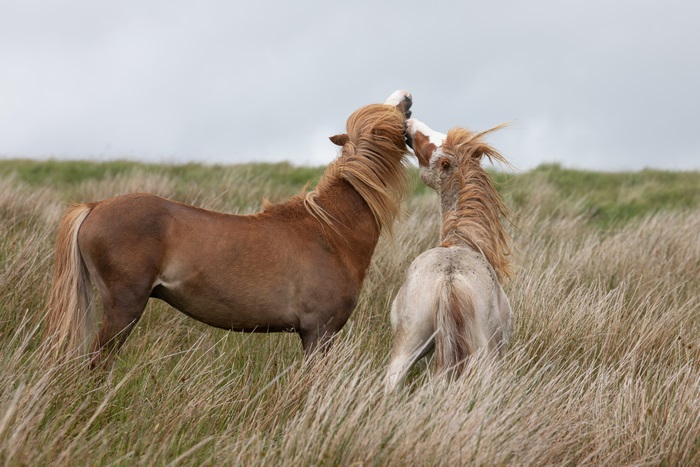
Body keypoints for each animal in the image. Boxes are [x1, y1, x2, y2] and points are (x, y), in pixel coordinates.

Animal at [45, 90, 414, 368]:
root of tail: (94, 207)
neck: (332, 231)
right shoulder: (318, 333)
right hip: (124, 308)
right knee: (98, 361)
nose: (407, 95)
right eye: (396, 114)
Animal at [385, 117, 513, 391]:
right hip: (486, 358)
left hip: (407, 347)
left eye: (430, 146)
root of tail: (448, 280)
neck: (461, 241)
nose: (408, 123)